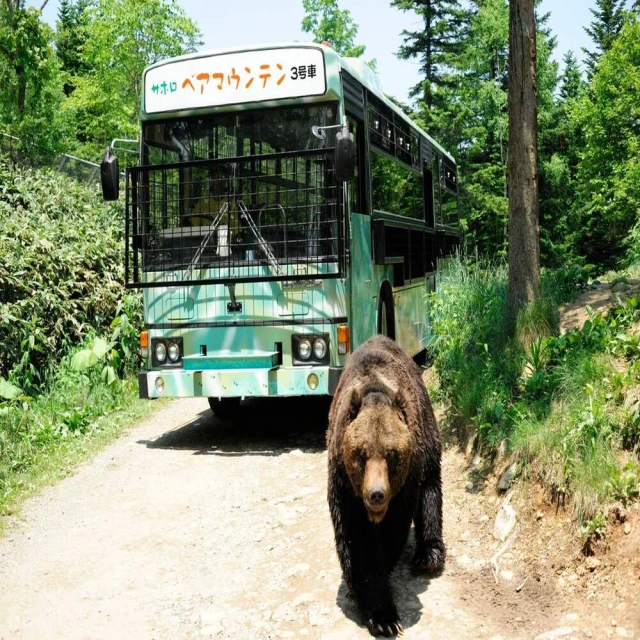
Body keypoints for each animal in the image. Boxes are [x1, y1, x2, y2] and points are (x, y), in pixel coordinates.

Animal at [328, 336, 442, 636]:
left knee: (431, 489)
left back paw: (429, 555)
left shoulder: (404, 486)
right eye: (361, 453)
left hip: (426, 433)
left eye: (391, 454)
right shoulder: (345, 486)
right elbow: (358, 543)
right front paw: (382, 615)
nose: (376, 494)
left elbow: (394, 528)